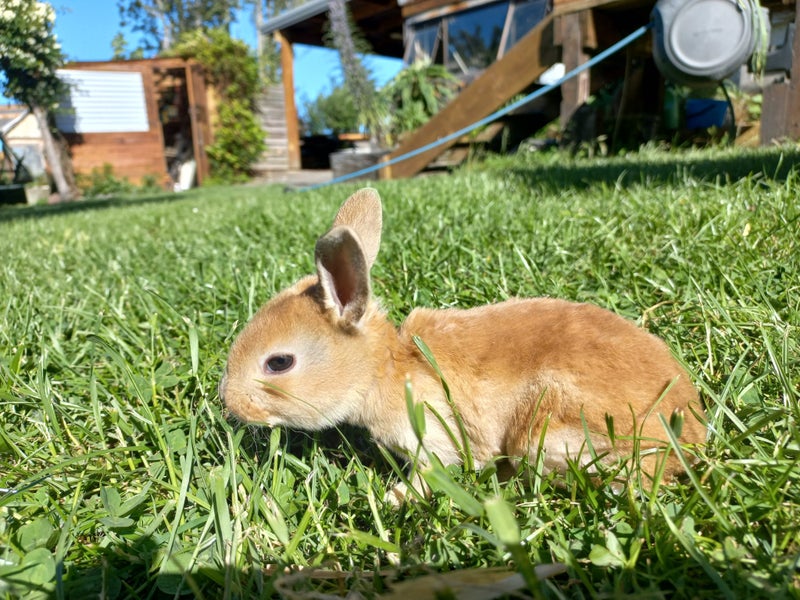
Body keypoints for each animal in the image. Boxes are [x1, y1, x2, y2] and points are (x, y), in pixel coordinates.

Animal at [219, 187, 706, 499]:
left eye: (278, 363)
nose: (230, 403)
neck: (385, 369)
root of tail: (691, 439)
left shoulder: (435, 439)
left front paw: (396, 497)